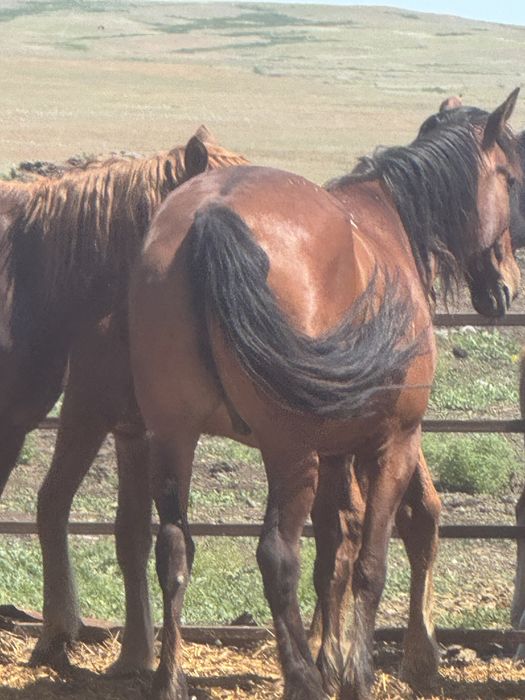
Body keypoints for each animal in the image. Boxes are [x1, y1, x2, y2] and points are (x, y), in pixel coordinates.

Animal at [129, 89, 520, 700]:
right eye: (508, 177)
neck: (383, 227)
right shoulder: (393, 443)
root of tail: (210, 215)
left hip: (173, 438)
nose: (505, 286)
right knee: (277, 557)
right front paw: (355, 672)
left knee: (173, 550)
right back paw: (303, 679)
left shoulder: (336, 451)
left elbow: (335, 553)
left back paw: (172, 677)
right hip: (289, 452)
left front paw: (333, 655)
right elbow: (371, 560)